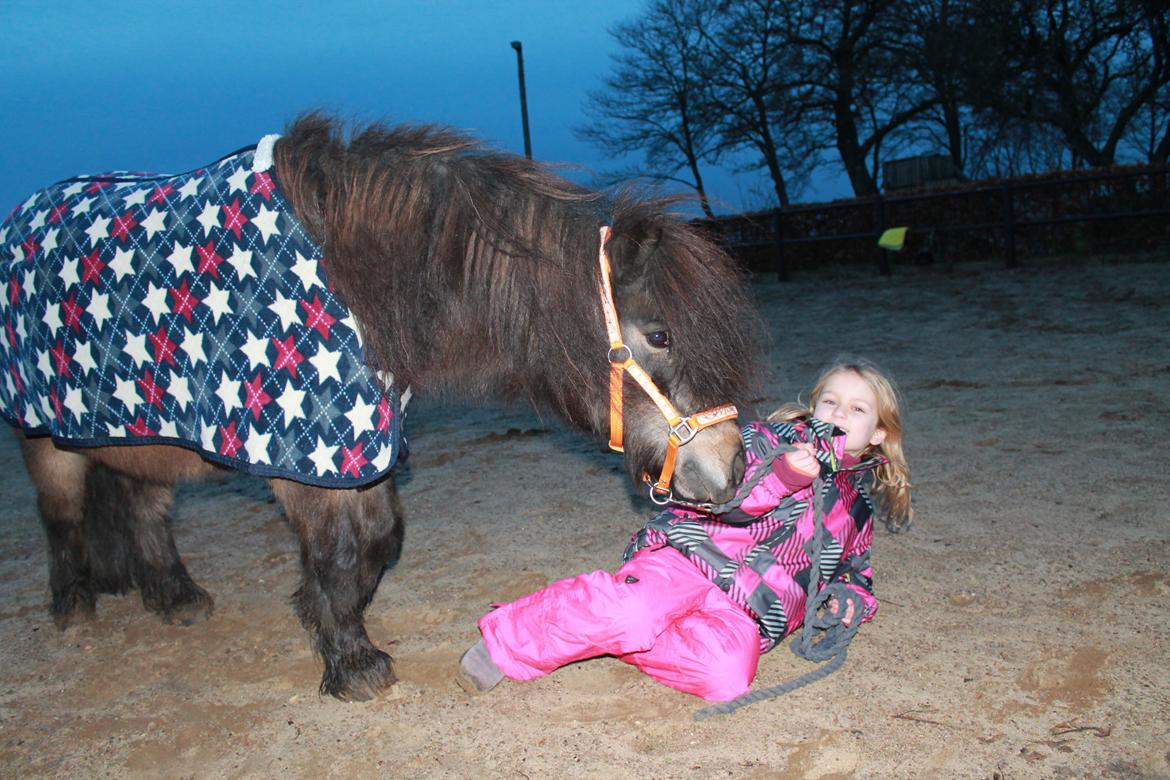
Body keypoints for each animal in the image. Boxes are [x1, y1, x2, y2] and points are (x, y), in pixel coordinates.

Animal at [0, 113, 761, 701]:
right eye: (659, 335)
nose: (731, 469)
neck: (353, 277)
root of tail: (24, 216)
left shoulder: (364, 440)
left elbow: (380, 540)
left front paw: (322, 620)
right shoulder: (306, 455)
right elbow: (339, 551)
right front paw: (351, 663)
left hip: (137, 431)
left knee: (141, 510)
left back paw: (175, 598)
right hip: (45, 434)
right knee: (61, 514)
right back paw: (73, 606)